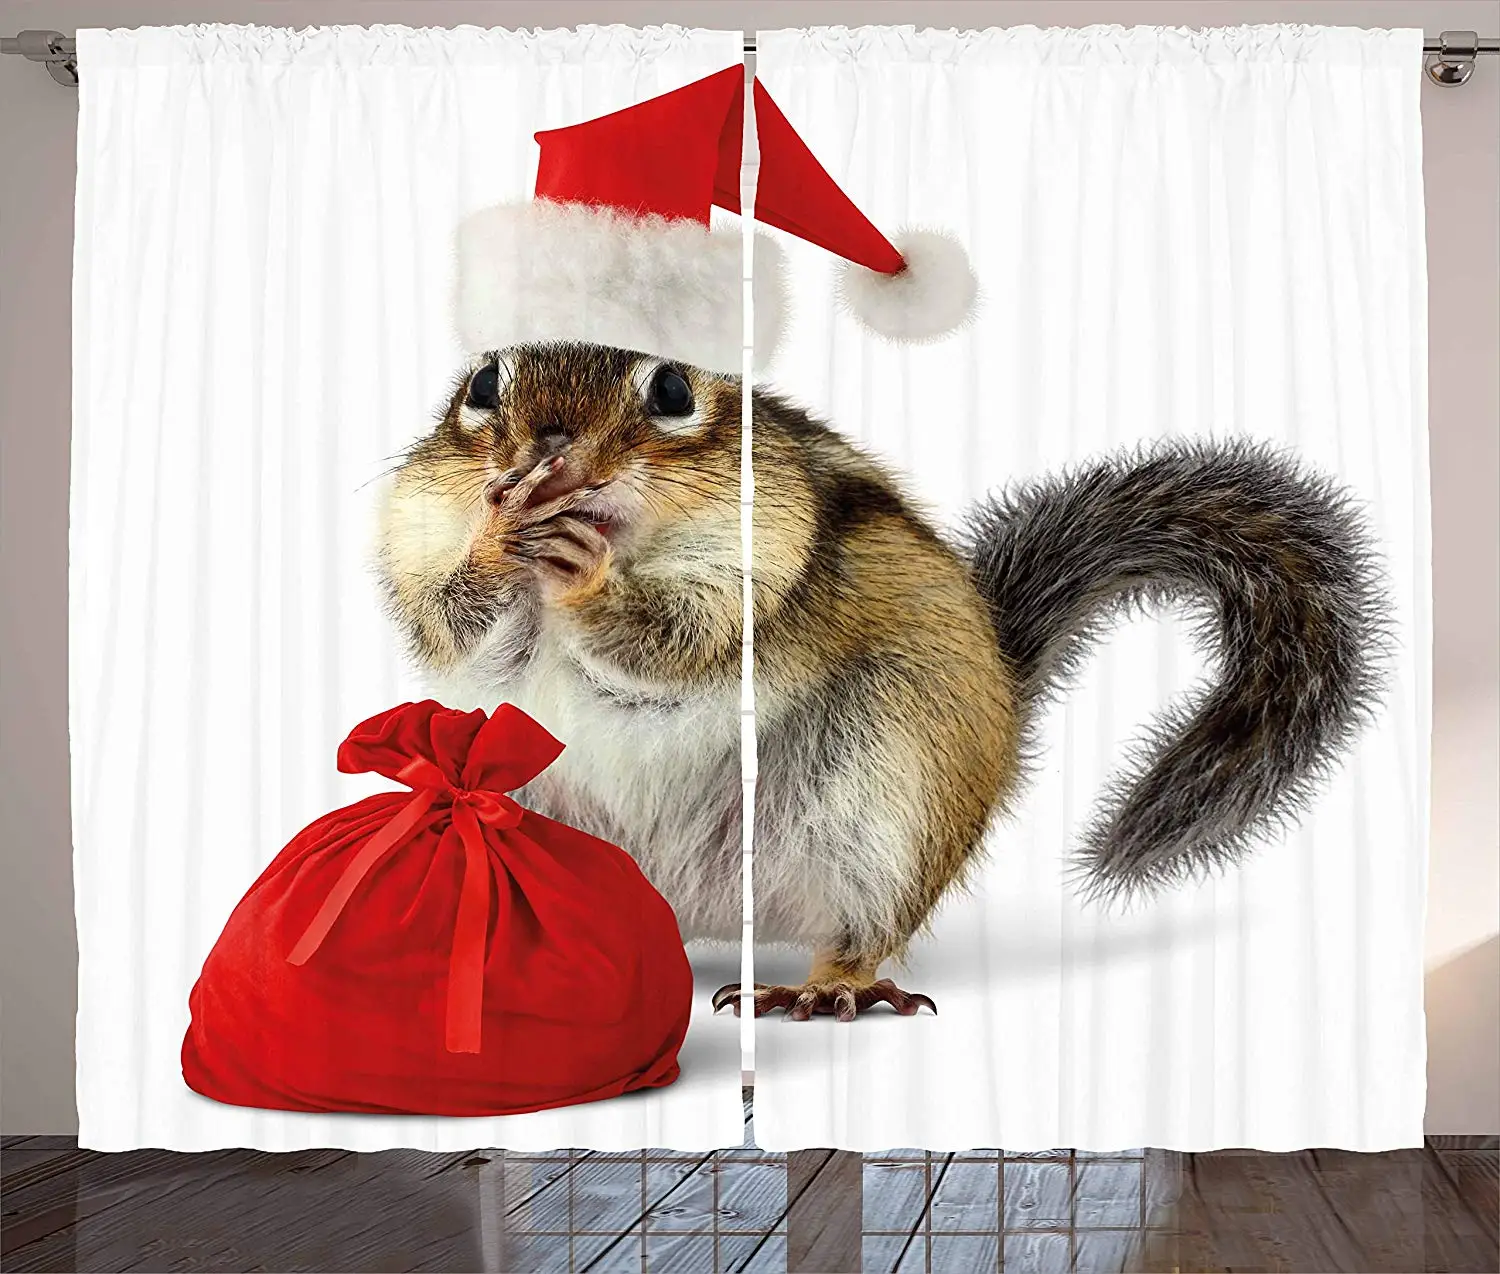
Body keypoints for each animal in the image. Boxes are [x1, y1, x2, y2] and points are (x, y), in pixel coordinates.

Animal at [376, 342, 1388, 1020]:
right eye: (483, 384)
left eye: (670, 390)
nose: (547, 455)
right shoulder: (419, 541)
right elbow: (451, 618)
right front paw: (498, 536)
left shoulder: (764, 558)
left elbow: (676, 643)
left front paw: (589, 575)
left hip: (887, 793)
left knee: (865, 928)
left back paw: (825, 990)